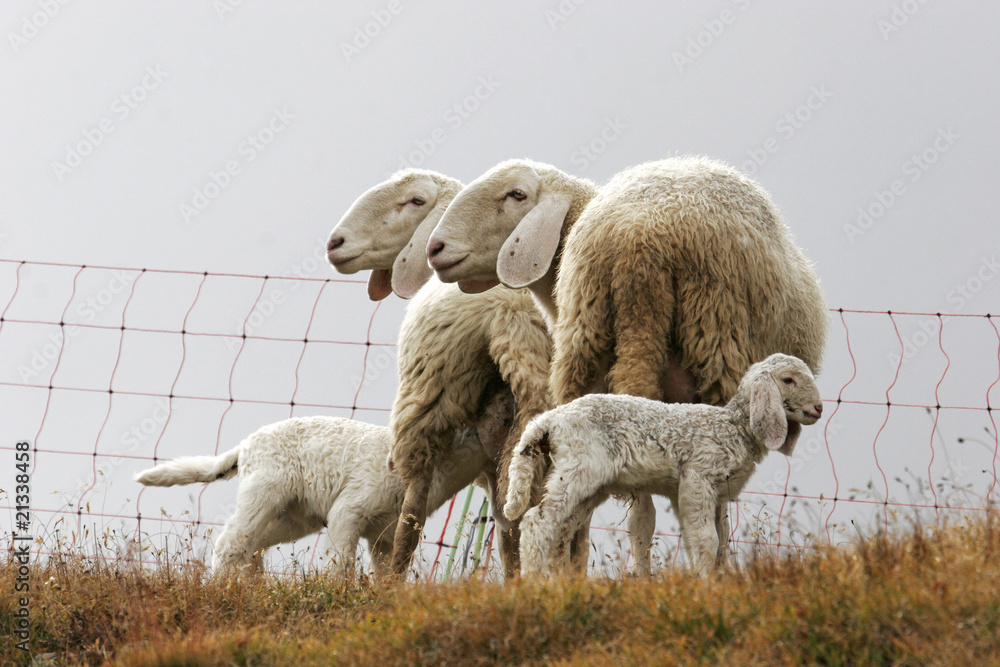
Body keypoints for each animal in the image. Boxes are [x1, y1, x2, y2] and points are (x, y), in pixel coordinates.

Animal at [134, 415, 489, 578]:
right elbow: (341, 563)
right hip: (263, 492)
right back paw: (219, 590)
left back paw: (253, 586)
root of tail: (245, 445)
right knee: (230, 543)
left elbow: (389, 572)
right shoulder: (350, 509)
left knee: (253, 544)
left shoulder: (386, 533)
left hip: (295, 516)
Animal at [327, 170, 553, 578]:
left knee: (410, 513)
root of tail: (508, 311)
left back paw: (391, 582)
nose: (335, 243)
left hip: (429, 391)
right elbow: (505, 531)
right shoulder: (489, 456)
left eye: (416, 200)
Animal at [504, 353, 824, 577]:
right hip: (579, 467)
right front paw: (705, 582)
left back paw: (559, 581)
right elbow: (706, 539)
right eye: (789, 380)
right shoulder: (697, 477)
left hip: (591, 483)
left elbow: (716, 538)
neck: (733, 426)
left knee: (563, 529)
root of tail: (549, 420)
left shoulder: (712, 491)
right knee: (536, 521)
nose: (819, 408)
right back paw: (533, 581)